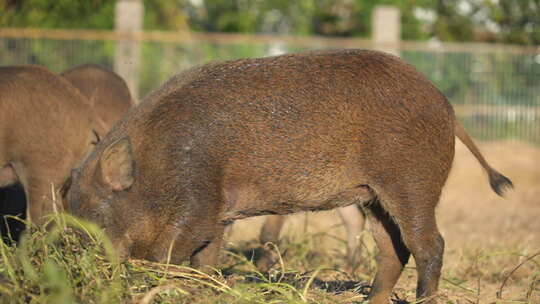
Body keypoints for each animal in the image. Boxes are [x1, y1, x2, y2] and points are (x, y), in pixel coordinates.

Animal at [61, 48, 512, 302]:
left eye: (96, 218)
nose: (80, 271)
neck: (156, 163)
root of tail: (447, 107)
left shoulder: (198, 198)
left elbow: (169, 252)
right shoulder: (218, 213)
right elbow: (206, 257)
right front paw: (202, 288)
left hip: (411, 182)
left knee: (430, 244)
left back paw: (422, 300)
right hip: (372, 195)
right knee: (392, 250)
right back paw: (372, 301)